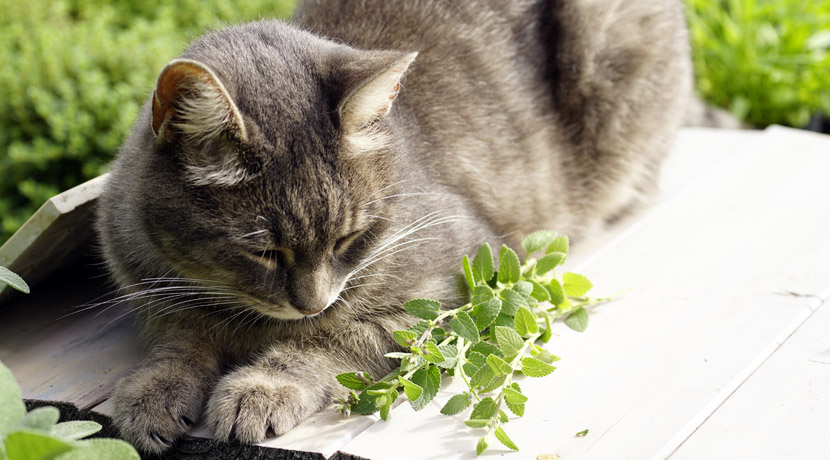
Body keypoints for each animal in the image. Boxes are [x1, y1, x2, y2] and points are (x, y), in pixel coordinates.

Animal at [96, 0, 696, 452]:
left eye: (347, 238)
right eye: (264, 251)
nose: (312, 303)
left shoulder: (451, 286)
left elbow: (331, 340)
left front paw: (262, 386)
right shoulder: (156, 292)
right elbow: (181, 339)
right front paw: (153, 389)